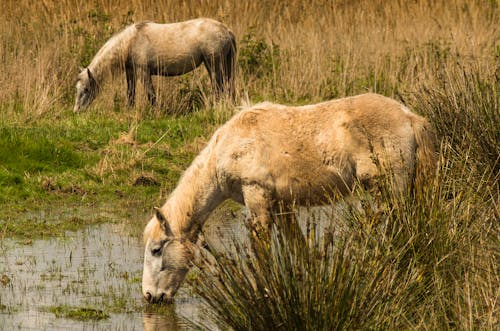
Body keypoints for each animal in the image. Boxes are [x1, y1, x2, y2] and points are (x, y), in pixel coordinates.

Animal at [73, 18, 236, 113]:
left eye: (86, 89)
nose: (76, 111)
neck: (130, 42)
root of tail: (226, 30)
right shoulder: (131, 72)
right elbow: (130, 93)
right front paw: (129, 110)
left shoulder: (143, 72)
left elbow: (150, 94)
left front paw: (155, 112)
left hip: (214, 64)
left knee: (219, 87)